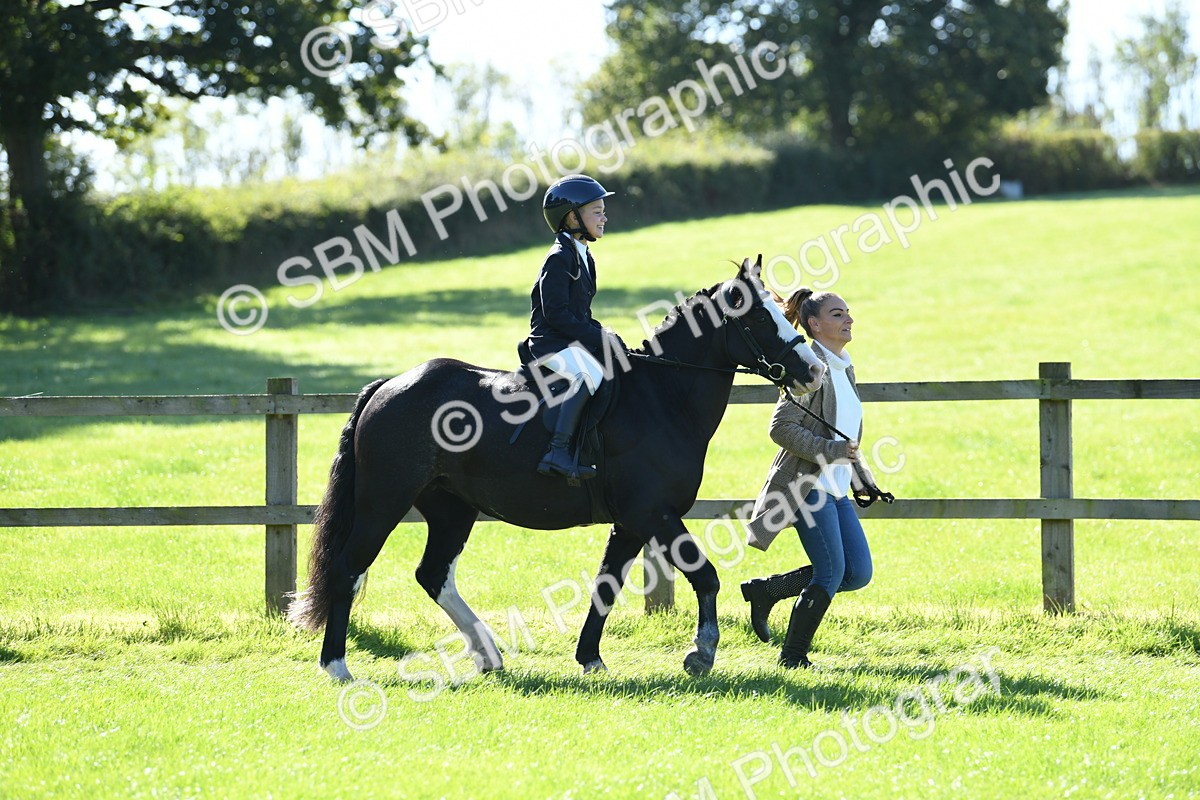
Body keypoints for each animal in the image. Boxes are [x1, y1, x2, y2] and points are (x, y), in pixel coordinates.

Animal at [287, 256, 828, 681]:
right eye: (757, 315)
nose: (814, 370)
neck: (662, 396)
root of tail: (389, 385)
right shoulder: (653, 513)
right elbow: (706, 575)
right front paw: (701, 653)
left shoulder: (632, 522)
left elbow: (606, 586)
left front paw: (590, 658)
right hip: (383, 503)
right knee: (348, 567)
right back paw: (336, 666)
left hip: (450, 509)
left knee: (433, 574)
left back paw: (489, 655)